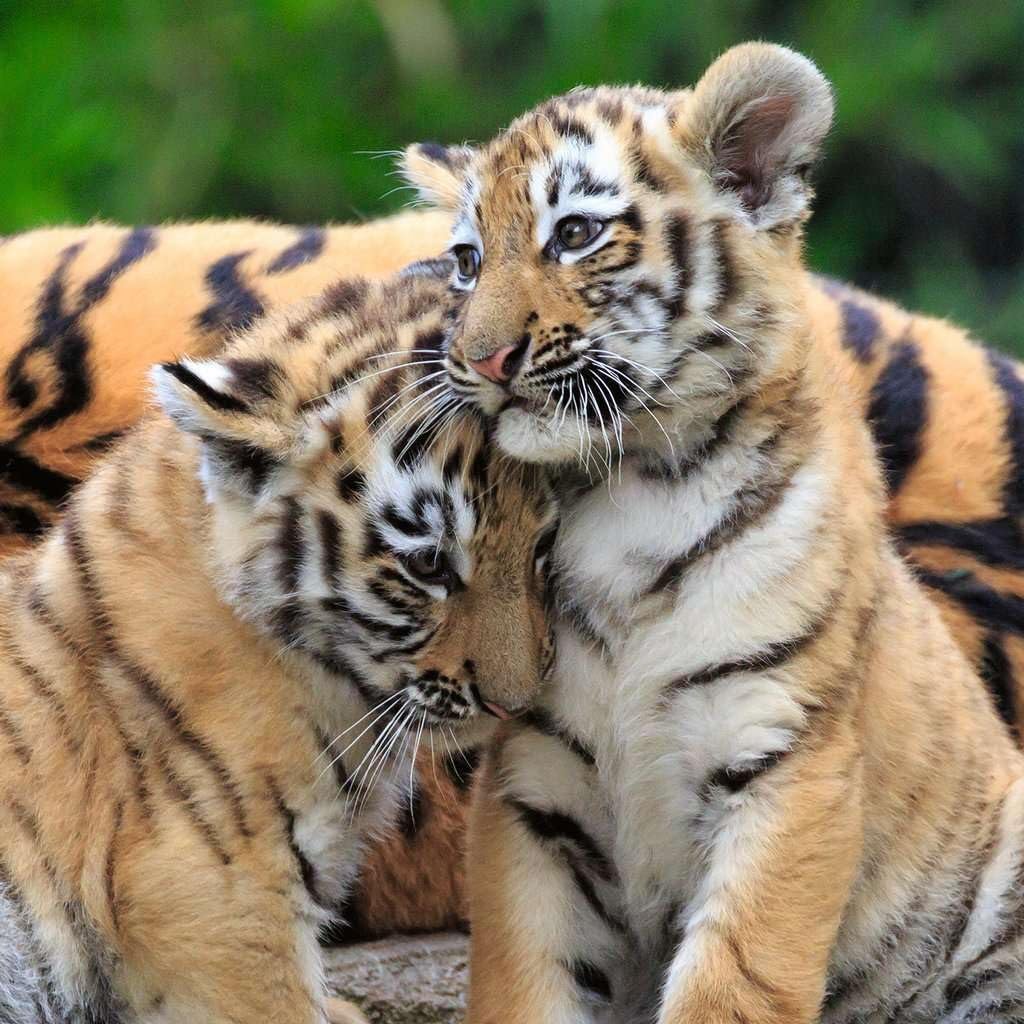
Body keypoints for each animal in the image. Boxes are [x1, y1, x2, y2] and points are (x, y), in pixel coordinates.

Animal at [402, 42, 1024, 1022]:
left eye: (573, 235)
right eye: (466, 260)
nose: (479, 358)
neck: (624, 488)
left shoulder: (786, 756)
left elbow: (737, 980)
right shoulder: (532, 789)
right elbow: (523, 981)